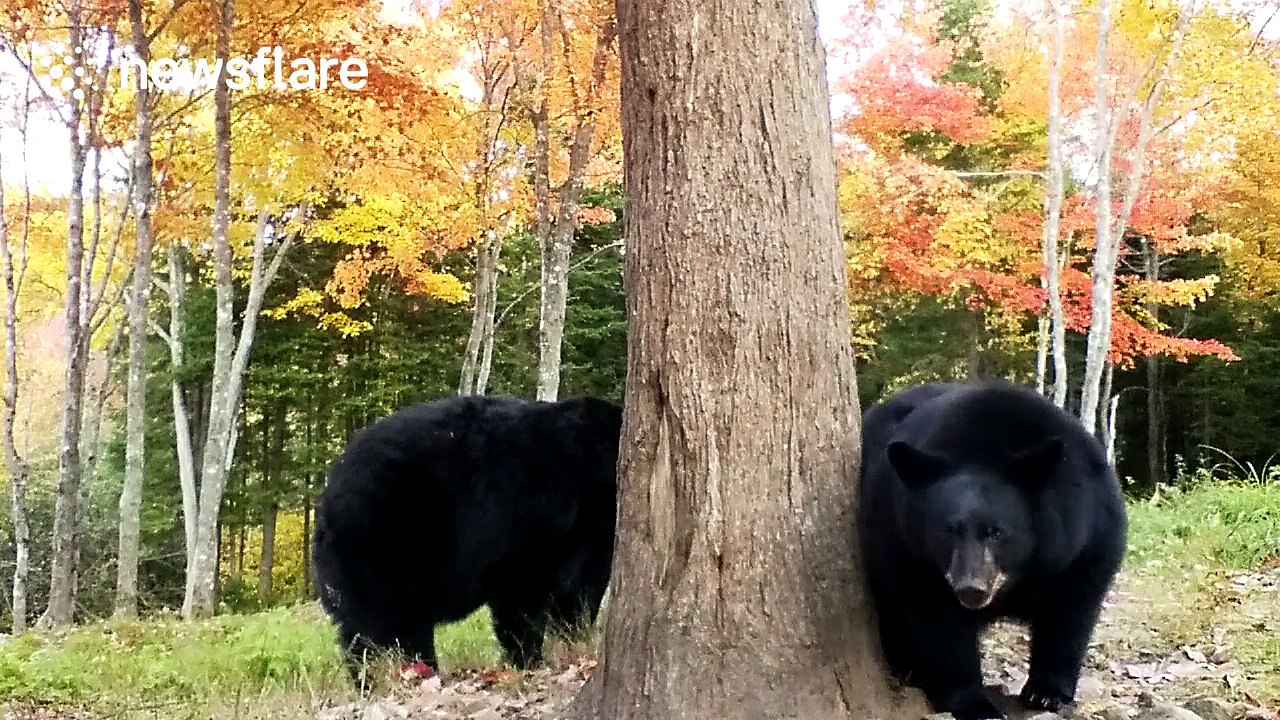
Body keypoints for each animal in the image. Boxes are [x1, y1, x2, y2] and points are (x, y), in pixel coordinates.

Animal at [312, 394, 622, 688]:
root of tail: (327, 497)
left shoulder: (593, 532)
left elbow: (580, 587)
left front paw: (574, 638)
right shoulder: (538, 509)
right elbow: (523, 587)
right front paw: (528, 658)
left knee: (359, 628)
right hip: (388, 538)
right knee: (392, 617)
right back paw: (413, 670)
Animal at [858, 379, 1127, 720]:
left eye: (996, 532)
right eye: (949, 531)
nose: (971, 588)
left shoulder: (1087, 530)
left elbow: (1071, 609)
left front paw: (1046, 692)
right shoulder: (903, 544)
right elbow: (938, 622)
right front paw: (975, 703)